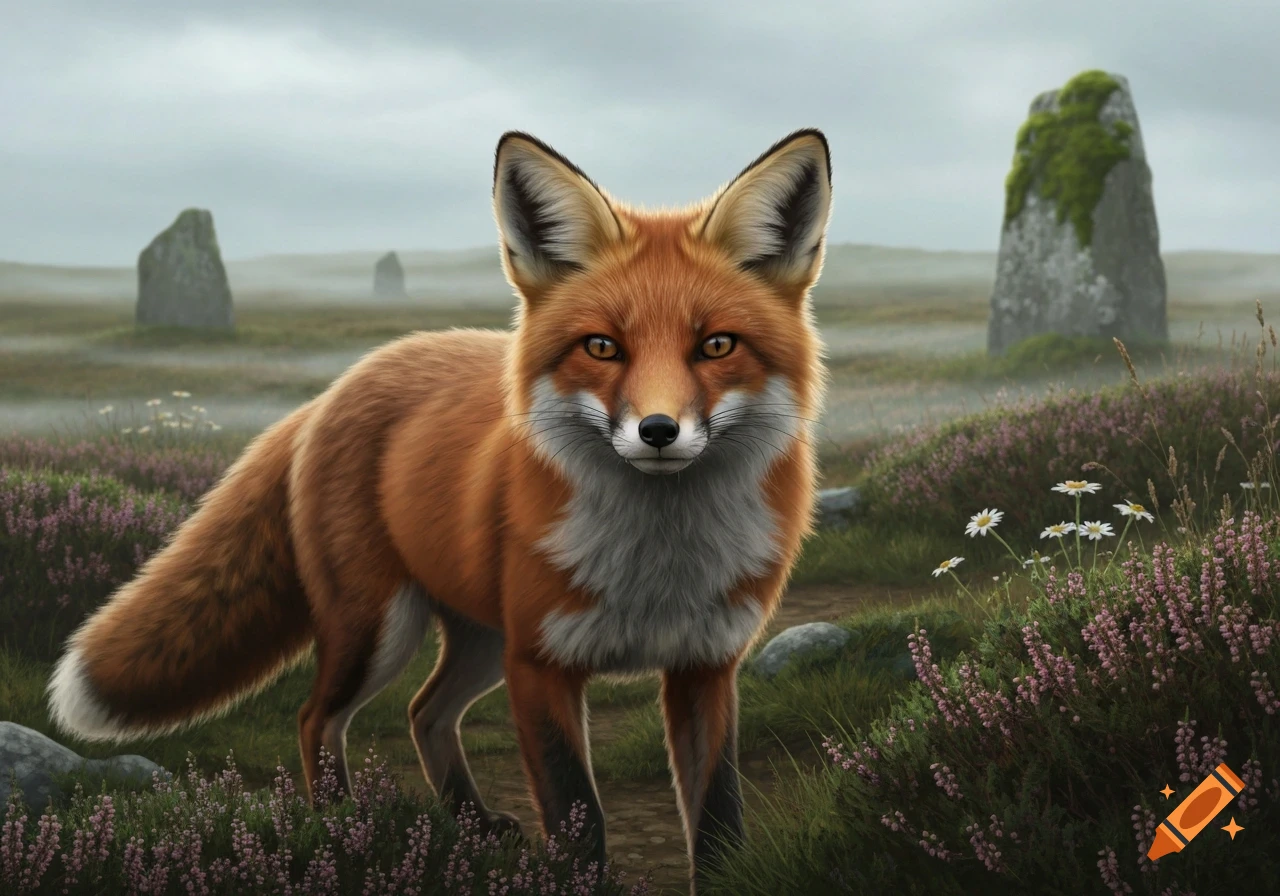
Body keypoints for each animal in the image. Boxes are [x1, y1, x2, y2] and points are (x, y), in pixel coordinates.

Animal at [46, 127, 833, 890]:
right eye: (602, 347)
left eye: (717, 345)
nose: (659, 431)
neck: (658, 562)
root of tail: (339, 386)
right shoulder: (540, 665)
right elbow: (578, 819)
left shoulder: (706, 665)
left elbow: (718, 819)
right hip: (380, 628)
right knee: (316, 718)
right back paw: (343, 832)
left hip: (479, 638)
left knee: (425, 713)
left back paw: (470, 827)